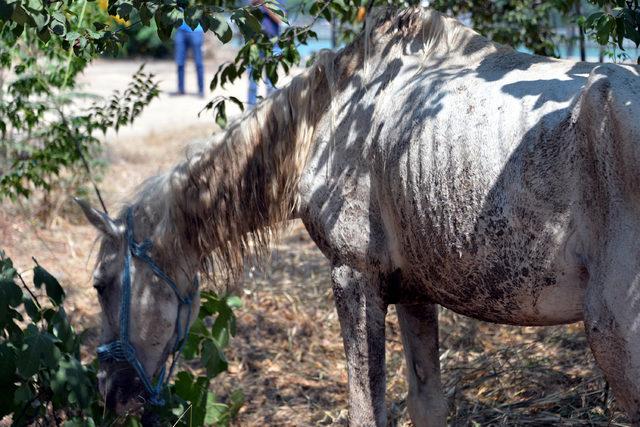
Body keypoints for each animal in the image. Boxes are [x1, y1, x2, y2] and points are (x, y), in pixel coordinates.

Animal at [77, 6, 640, 427]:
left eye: (102, 284)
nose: (111, 396)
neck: (338, 117)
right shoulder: (415, 293)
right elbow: (427, 405)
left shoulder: (354, 279)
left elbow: (367, 411)